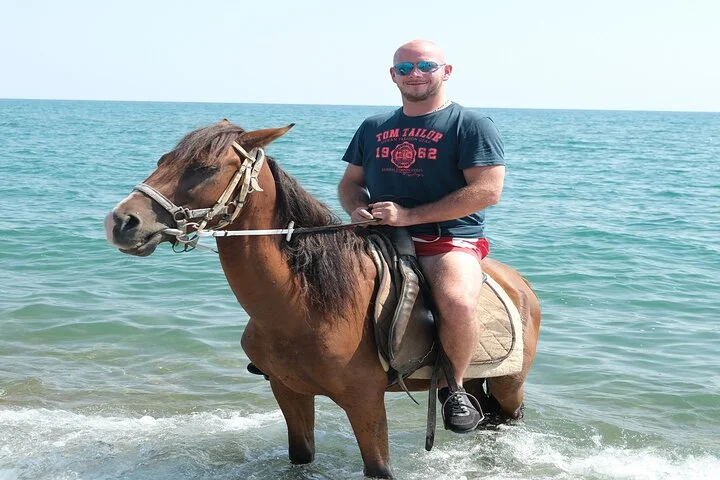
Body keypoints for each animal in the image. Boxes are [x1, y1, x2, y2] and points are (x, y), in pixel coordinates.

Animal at [104, 120, 541, 479]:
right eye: (164, 159)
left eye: (206, 168)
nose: (122, 221)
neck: (302, 307)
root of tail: (520, 283)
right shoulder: (289, 391)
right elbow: (301, 456)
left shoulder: (365, 403)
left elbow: (378, 469)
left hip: (509, 384)